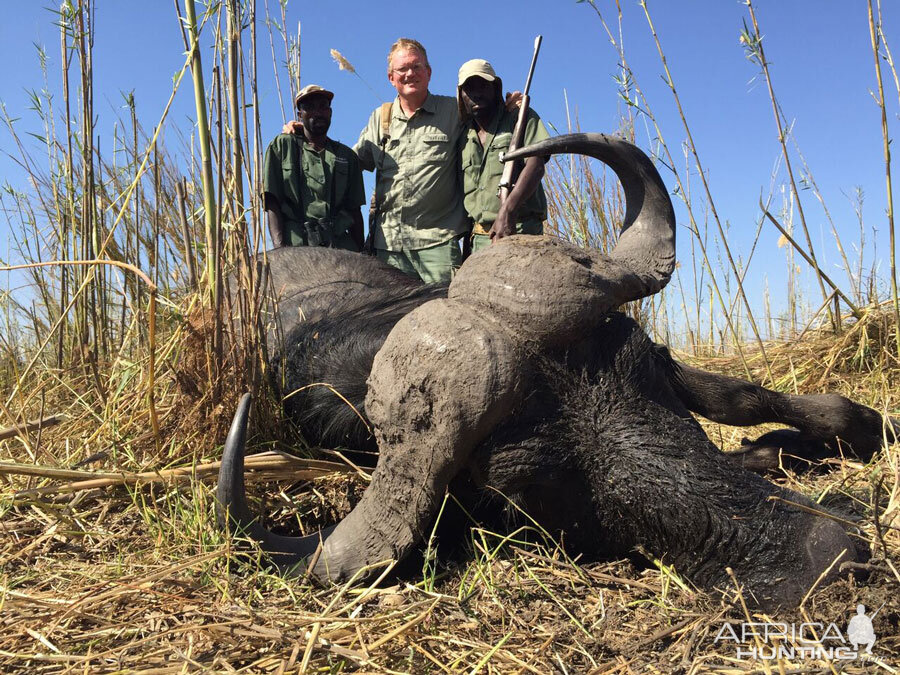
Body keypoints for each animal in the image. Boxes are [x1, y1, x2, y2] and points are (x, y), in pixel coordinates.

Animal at [214, 135, 888, 608]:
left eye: (644, 368)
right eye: (526, 488)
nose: (824, 554)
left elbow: (748, 398)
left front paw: (850, 428)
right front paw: (768, 452)